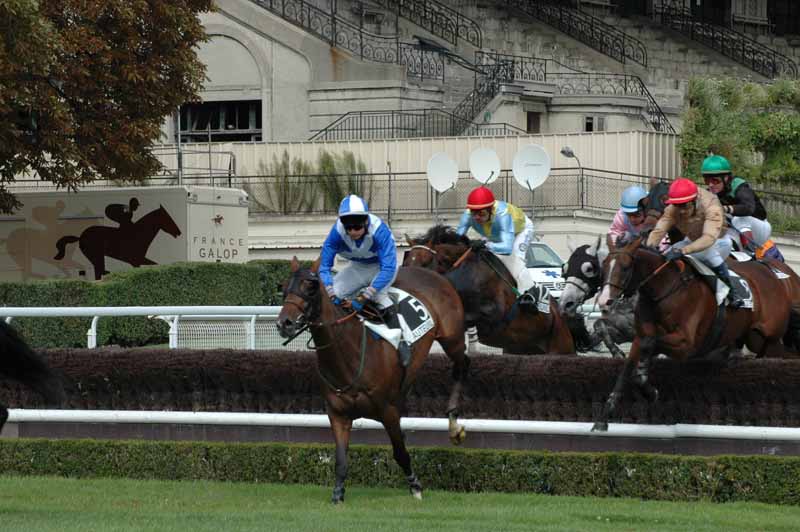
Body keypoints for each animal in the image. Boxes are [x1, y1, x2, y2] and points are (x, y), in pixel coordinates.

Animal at [54, 204, 182, 280]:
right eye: (168, 218)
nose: (179, 232)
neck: (139, 234)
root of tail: (80, 236)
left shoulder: (139, 261)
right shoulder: (136, 261)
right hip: (95, 255)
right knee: (98, 271)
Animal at [278, 258, 472, 502]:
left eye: (311, 288)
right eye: (284, 288)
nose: (284, 323)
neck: (349, 356)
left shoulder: (388, 411)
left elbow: (400, 453)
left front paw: (416, 487)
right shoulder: (338, 414)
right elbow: (340, 459)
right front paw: (338, 495)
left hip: (452, 338)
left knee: (462, 365)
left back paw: (454, 422)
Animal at [404, 224, 580, 354]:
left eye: (426, 262)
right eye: (406, 262)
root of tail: (558, 313)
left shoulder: (495, 312)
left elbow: (471, 317)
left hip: (561, 347)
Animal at [592, 237, 800, 432]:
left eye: (625, 267)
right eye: (604, 266)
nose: (605, 301)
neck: (664, 289)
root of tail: (773, 274)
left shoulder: (686, 344)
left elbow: (650, 344)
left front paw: (647, 386)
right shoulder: (639, 336)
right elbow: (627, 369)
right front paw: (602, 420)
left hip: (768, 337)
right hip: (753, 337)